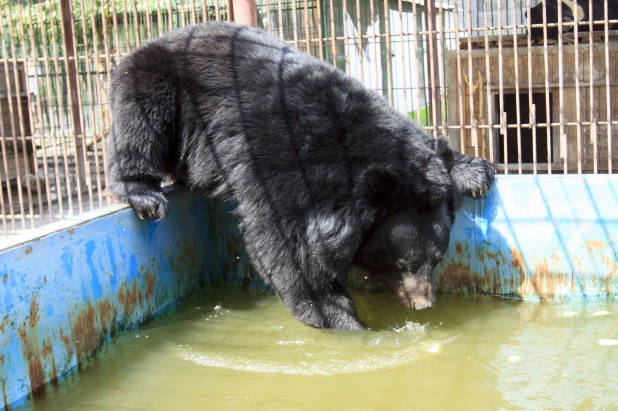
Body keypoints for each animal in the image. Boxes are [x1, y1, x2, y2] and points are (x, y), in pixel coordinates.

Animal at [106, 22, 490, 332]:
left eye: (437, 259)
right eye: (401, 262)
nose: (423, 303)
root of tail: (165, 36)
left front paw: (475, 172)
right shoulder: (278, 164)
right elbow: (288, 251)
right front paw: (344, 322)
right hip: (155, 81)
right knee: (140, 124)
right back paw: (144, 194)